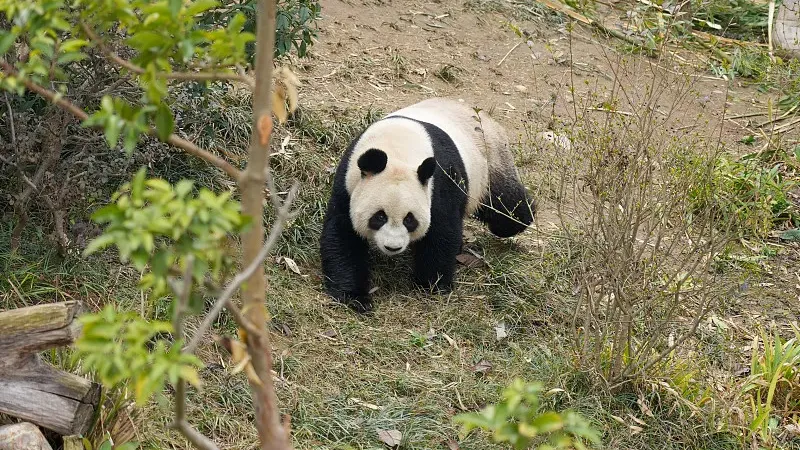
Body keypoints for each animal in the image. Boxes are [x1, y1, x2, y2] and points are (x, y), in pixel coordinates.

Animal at [319, 98, 535, 313]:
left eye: (409, 219)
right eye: (379, 217)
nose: (393, 247)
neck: (397, 149)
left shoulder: (441, 181)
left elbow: (441, 231)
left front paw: (433, 284)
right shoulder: (348, 182)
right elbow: (343, 234)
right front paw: (355, 297)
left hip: (490, 161)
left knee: (505, 205)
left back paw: (520, 218)